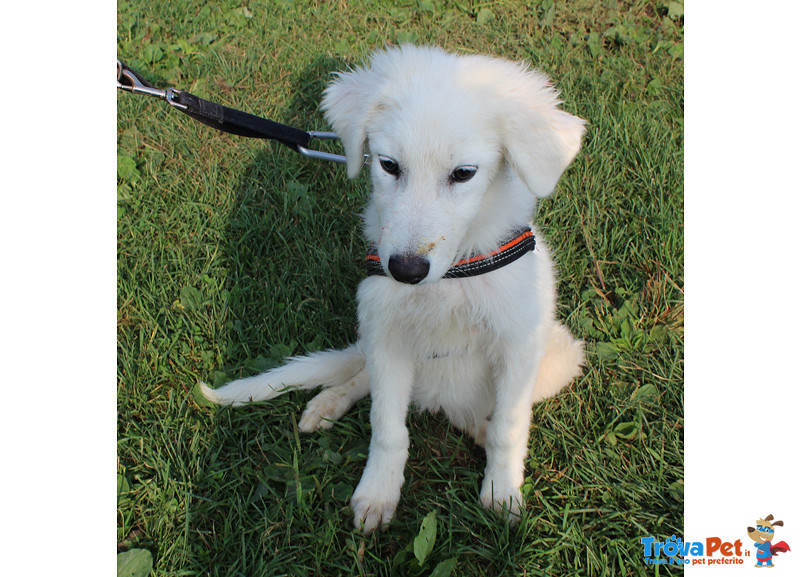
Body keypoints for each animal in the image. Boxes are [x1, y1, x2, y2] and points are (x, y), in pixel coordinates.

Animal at [202, 44, 588, 532]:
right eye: (388, 166)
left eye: (464, 173)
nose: (404, 270)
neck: (449, 281)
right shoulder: (386, 333)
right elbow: (387, 427)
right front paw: (377, 494)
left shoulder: (518, 345)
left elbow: (510, 425)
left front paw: (502, 492)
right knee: (363, 376)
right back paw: (329, 402)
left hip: (559, 356)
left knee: (480, 416)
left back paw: (476, 430)